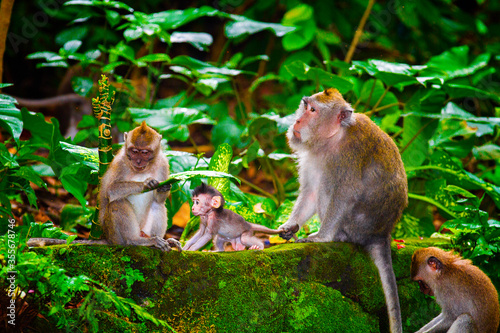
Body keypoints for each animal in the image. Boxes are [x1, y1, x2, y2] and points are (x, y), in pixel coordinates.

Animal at [26, 122, 182, 252]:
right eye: (133, 151)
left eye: (144, 152)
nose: (138, 161)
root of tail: (108, 238)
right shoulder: (119, 162)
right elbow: (111, 190)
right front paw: (146, 183)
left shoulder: (163, 163)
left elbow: (159, 200)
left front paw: (164, 188)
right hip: (115, 234)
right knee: (118, 203)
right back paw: (136, 241)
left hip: (142, 229)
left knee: (157, 205)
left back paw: (159, 240)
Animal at [280, 88, 408, 332]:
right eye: (305, 106)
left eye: (313, 110)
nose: (297, 121)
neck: (332, 139)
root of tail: (382, 233)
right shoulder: (313, 157)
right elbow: (310, 193)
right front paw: (290, 225)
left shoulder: (348, 156)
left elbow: (344, 193)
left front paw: (321, 237)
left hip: (356, 225)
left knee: (328, 187)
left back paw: (336, 236)